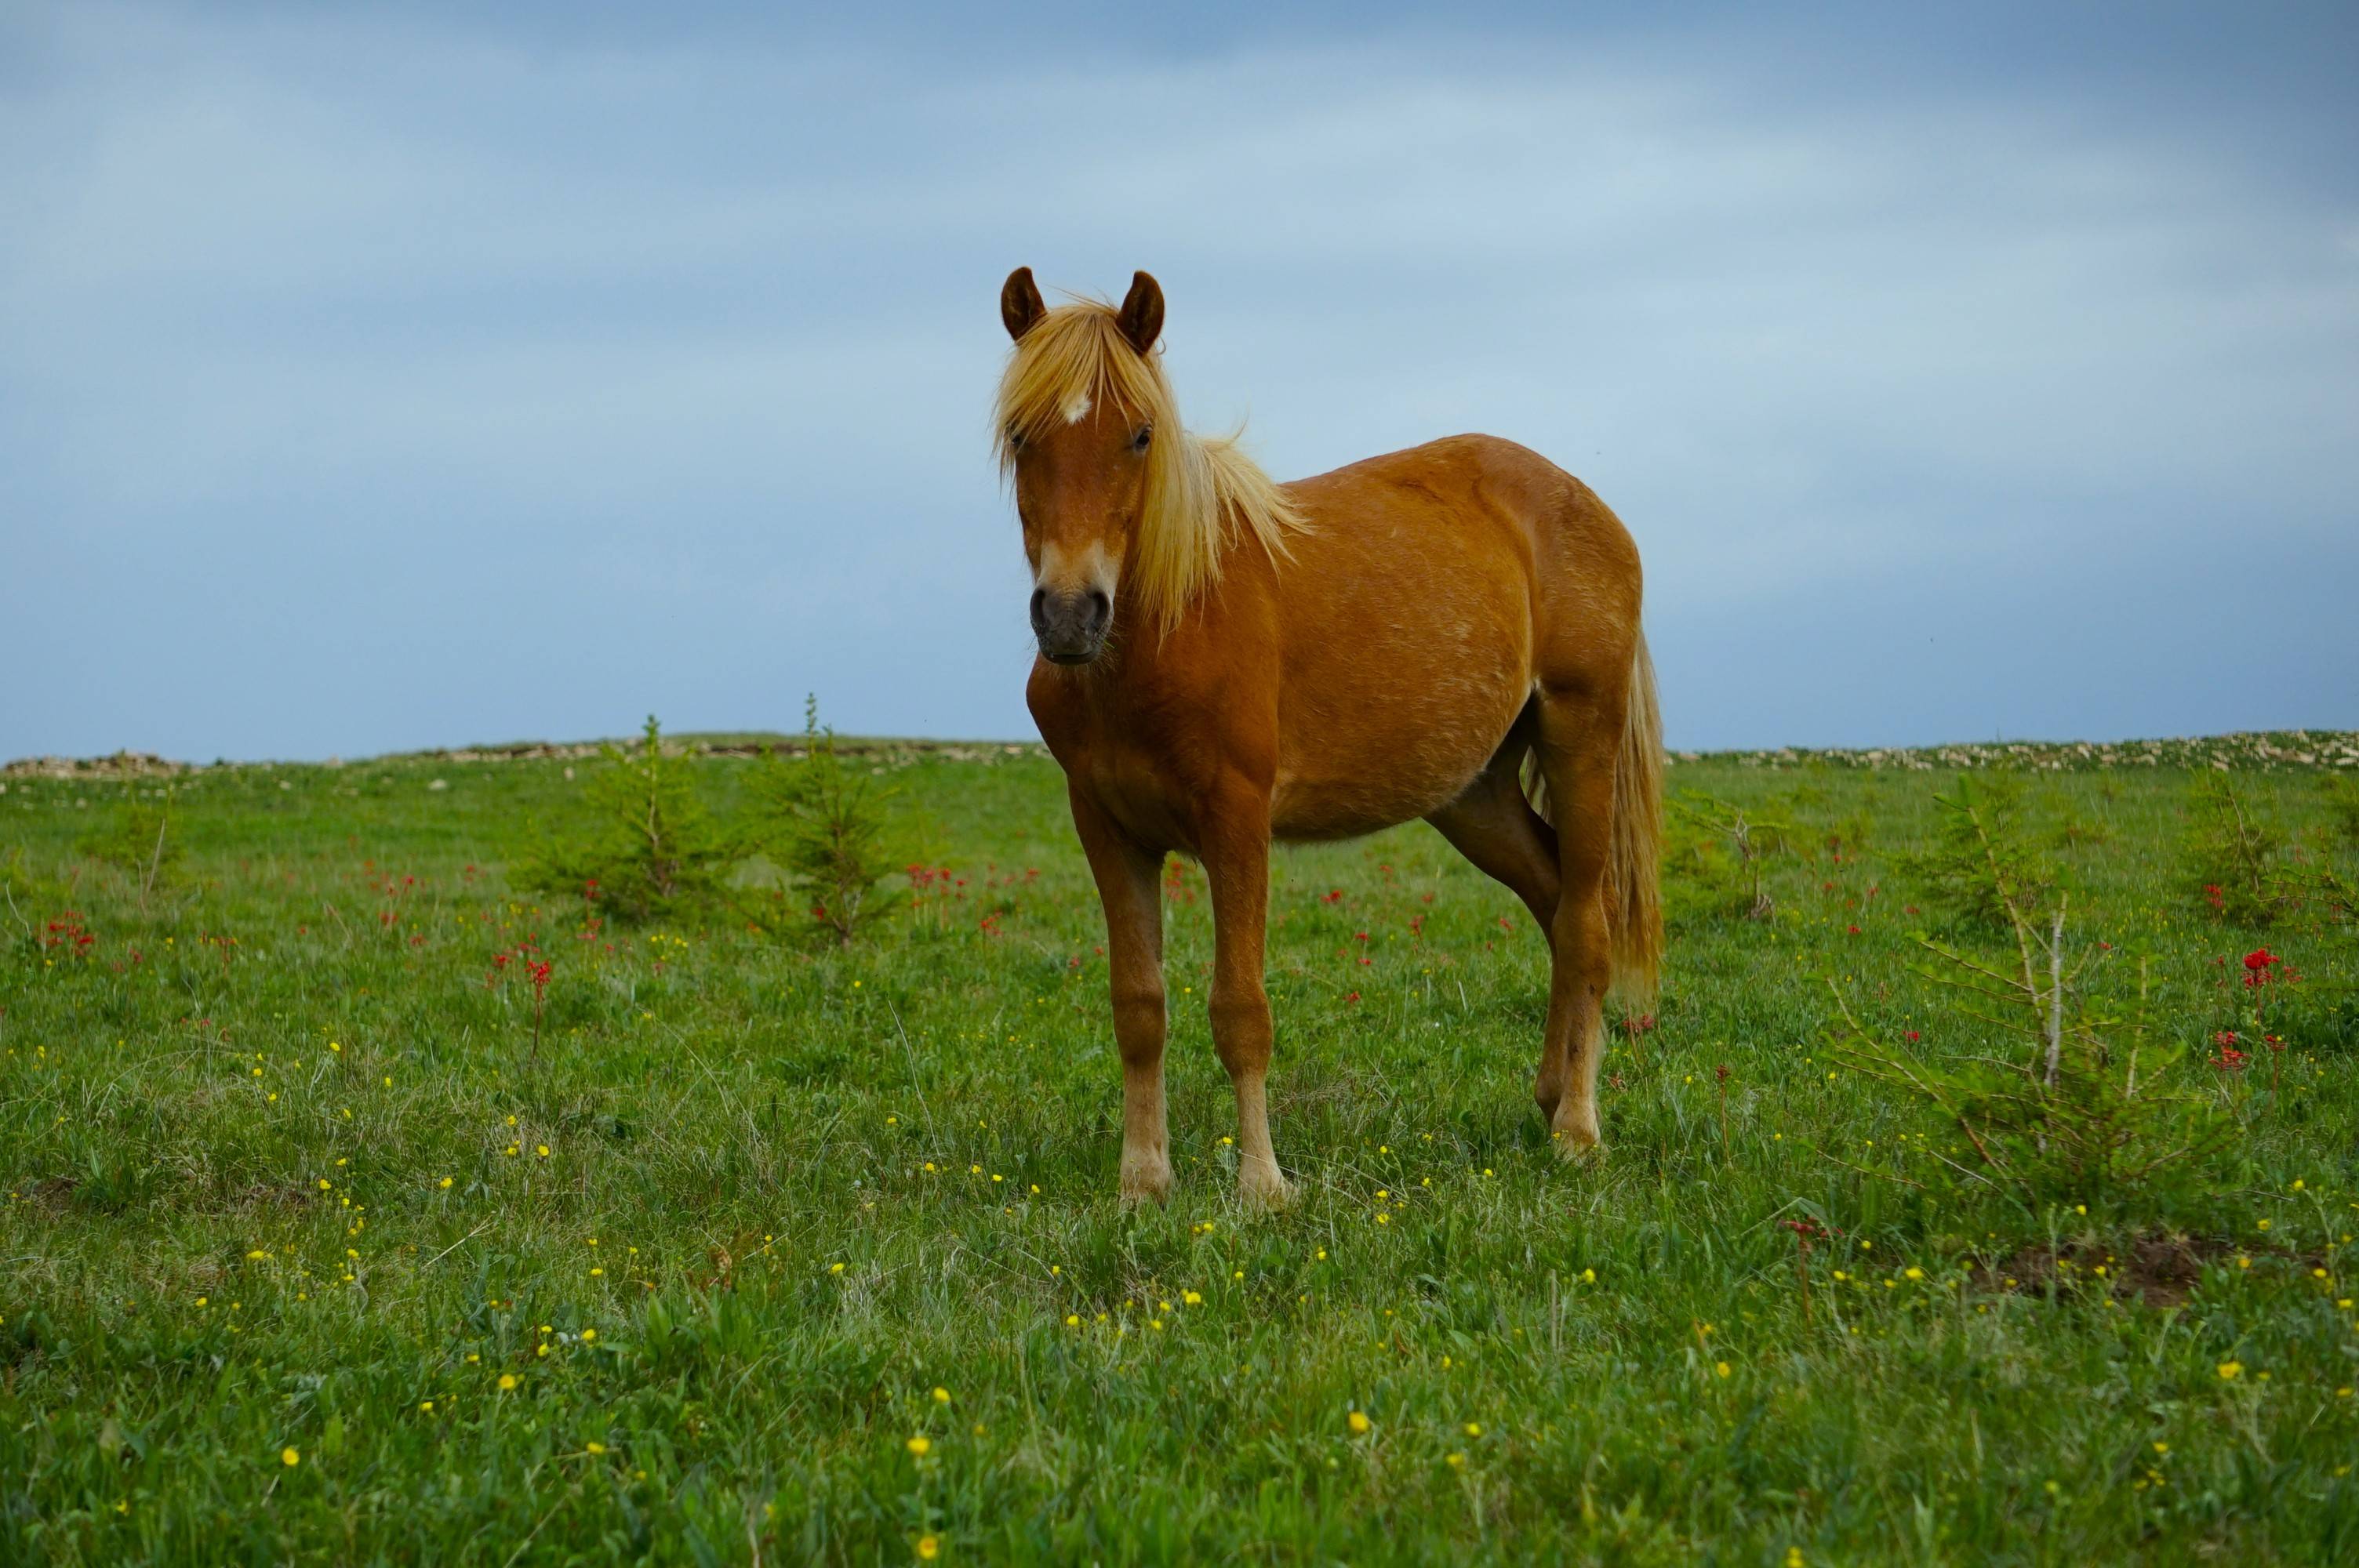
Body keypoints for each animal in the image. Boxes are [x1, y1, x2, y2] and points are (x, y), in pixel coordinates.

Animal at [995, 268, 1660, 1202]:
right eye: (1022, 434)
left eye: (1139, 435)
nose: (1067, 614)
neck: (1168, 626)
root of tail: (1590, 508)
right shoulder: (1108, 828)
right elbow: (1139, 1007)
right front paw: (1142, 1183)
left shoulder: (1237, 823)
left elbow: (1240, 1010)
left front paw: (1262, 1187)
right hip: (1473, 796)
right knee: (1555, 904)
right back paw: (1549, 1093)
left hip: (1581, 739)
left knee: (1588, 927)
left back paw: (1577, 1128)